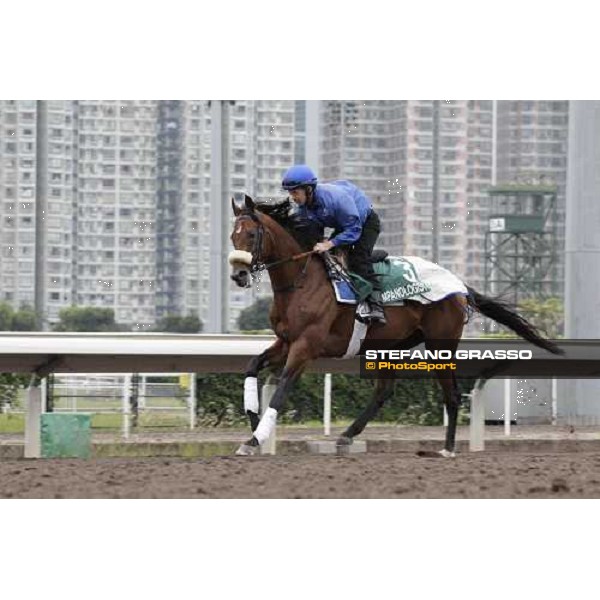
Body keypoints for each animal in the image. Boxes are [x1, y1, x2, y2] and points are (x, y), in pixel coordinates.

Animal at [230, 196, 564, 454]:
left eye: (251, 235)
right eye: (233, 236)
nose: (238, 275)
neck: (302, 281)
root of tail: (459, 285)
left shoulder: (306, 346)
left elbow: (282, 388)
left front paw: (254, 439)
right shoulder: (285, 341)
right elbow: (251, 366)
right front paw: (253, 421)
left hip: (439, 345)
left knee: (452, 394)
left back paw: (448, 448)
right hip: (387, 346)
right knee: (384, 391)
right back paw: (347, 436)